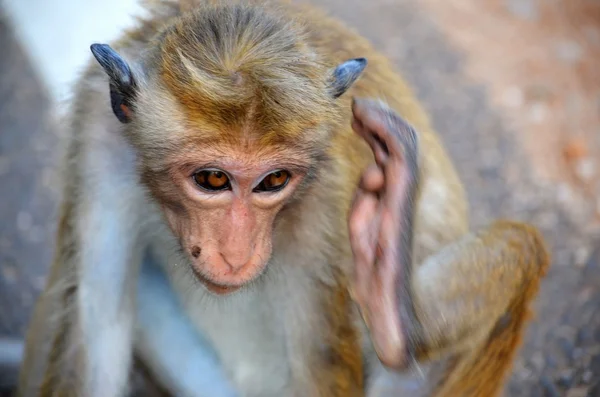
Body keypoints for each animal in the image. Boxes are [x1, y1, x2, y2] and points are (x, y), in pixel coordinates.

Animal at [14, 0, 552, 394]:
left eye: (273, 181)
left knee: (522, 248)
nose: (236, 254)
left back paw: (396, 317)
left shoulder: (326, 193)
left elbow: (318, 358)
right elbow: (95, 326)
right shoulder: (98, 141)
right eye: (212, 179)